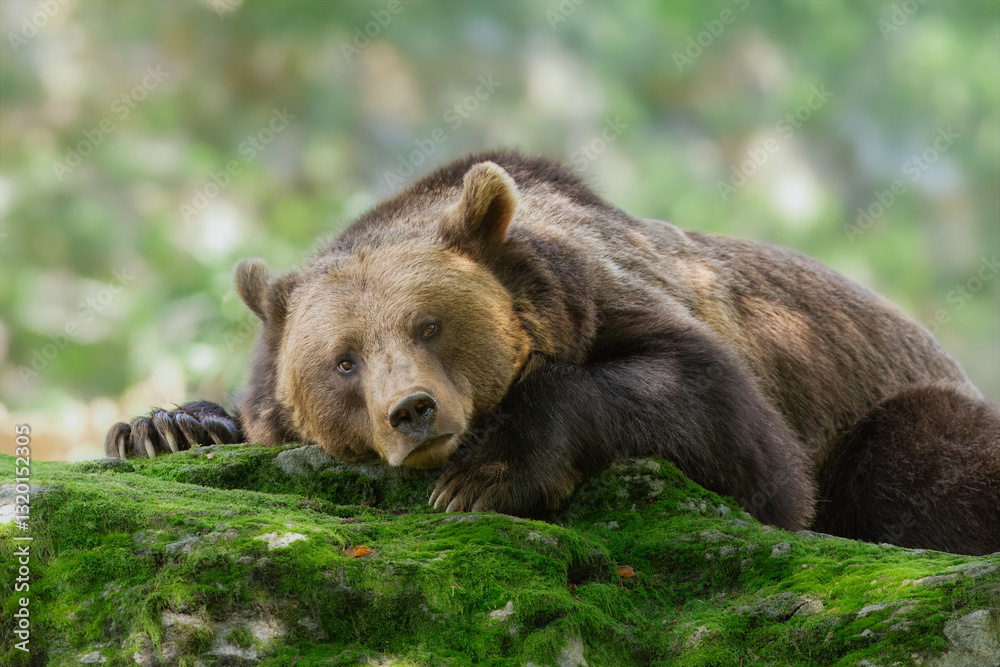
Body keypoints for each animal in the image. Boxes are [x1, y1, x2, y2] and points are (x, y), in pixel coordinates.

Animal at [106, 150, 1000, 556]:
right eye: (344, 359)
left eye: (429, 324)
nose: (413, 410)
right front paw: (164, 426)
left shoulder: (613, 298)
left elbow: (733, 432)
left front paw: (487, 477)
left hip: (894, 402)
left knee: (917, 462)